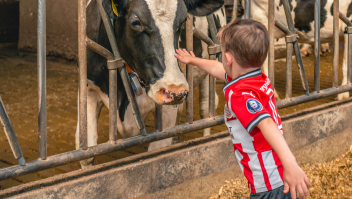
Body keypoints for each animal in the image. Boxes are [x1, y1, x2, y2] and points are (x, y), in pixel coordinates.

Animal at [77, 0, 226, 168]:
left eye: (183, 22)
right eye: (136, 22)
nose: (176, 90)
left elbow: (157, 151)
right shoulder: (89, 90)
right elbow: (87, 152)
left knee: (206, 108)